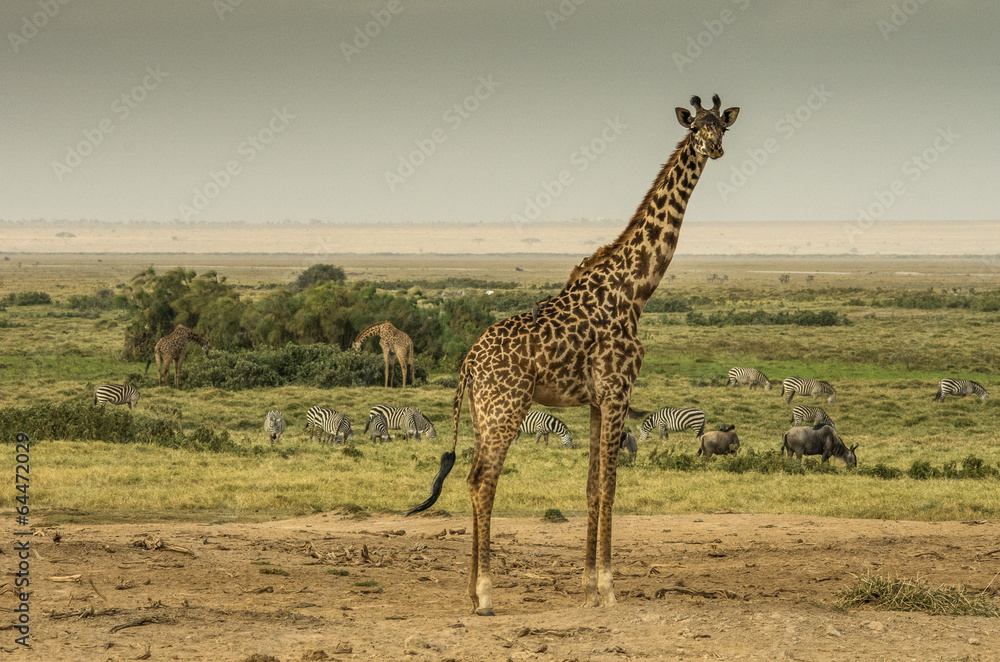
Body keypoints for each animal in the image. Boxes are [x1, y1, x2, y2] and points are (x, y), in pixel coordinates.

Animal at [408, 95, 738, 615]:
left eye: (721, 126)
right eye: (696, 128)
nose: (716, 148)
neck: (636, 288)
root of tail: (467, 365)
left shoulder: (598, 400)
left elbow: (590, 488)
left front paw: (586, 587)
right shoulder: (619, 390)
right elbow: (611, 487)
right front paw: (608, 588)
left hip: (483, 414)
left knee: (471, 479)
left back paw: (469, 590)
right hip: (506, 410)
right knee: (482, 480)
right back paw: (485, 594)